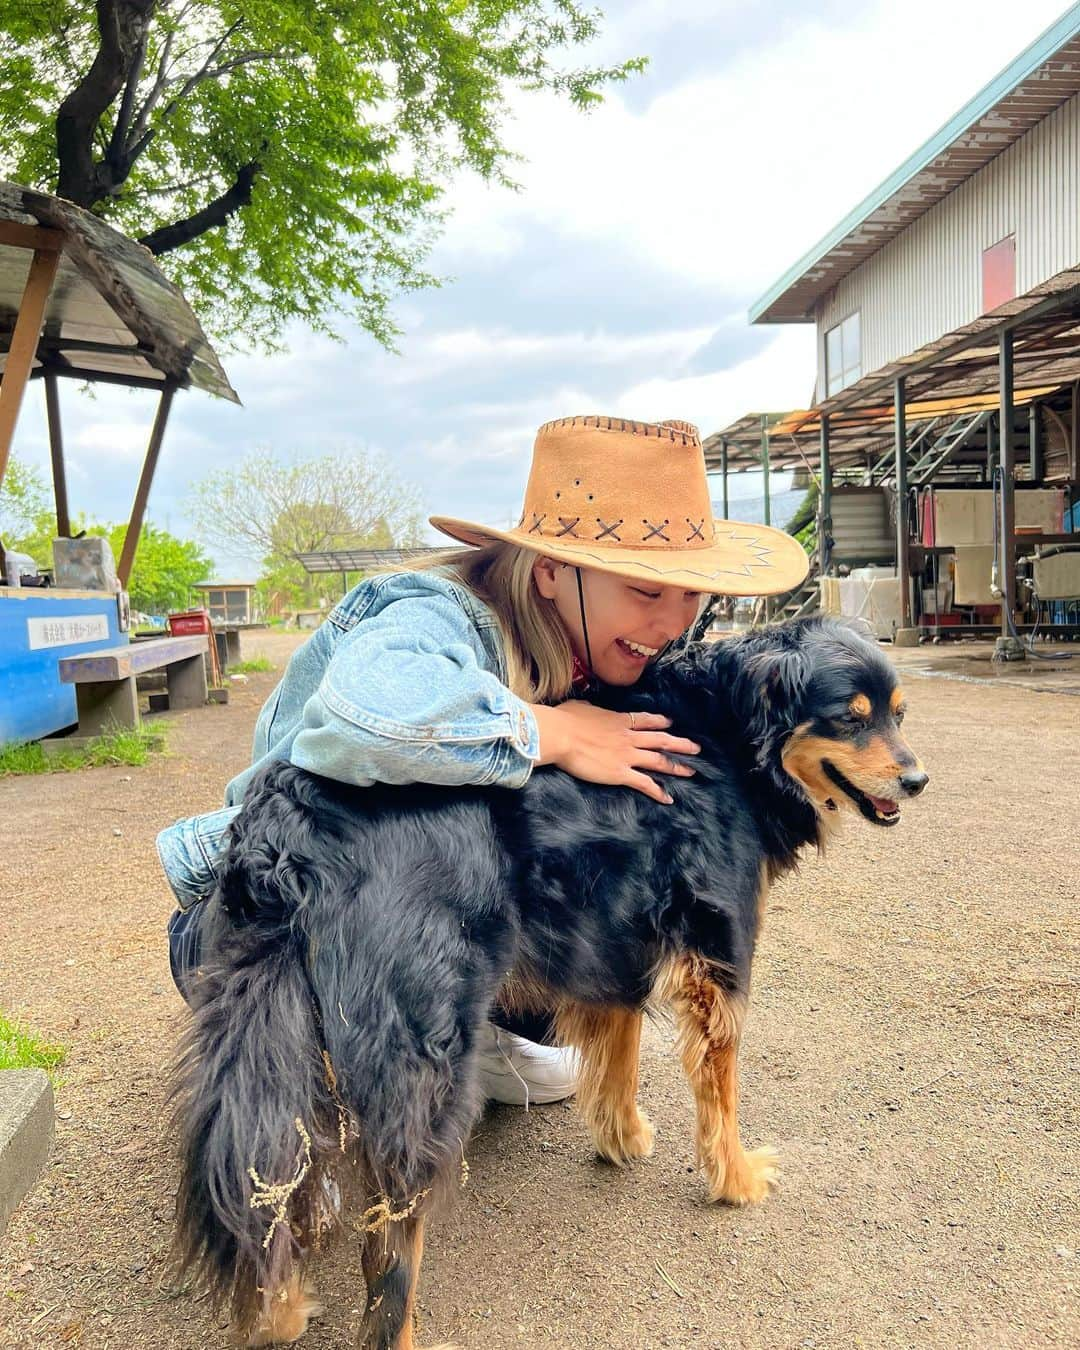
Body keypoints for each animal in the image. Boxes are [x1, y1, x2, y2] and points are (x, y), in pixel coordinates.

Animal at [170, 618, 928, 1344]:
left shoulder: (616, 941)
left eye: (899, 713)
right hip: (424, 1058)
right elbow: (721, 1095)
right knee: (387, 1259)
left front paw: (623, 1139)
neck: (729, 731)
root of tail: (290, 820)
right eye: (850, 718)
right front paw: (735, 1180)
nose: (918, 781)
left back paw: (279, 1311)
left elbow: (620, 1054)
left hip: (275, 1036)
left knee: (262, 1177)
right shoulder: (720, 960)